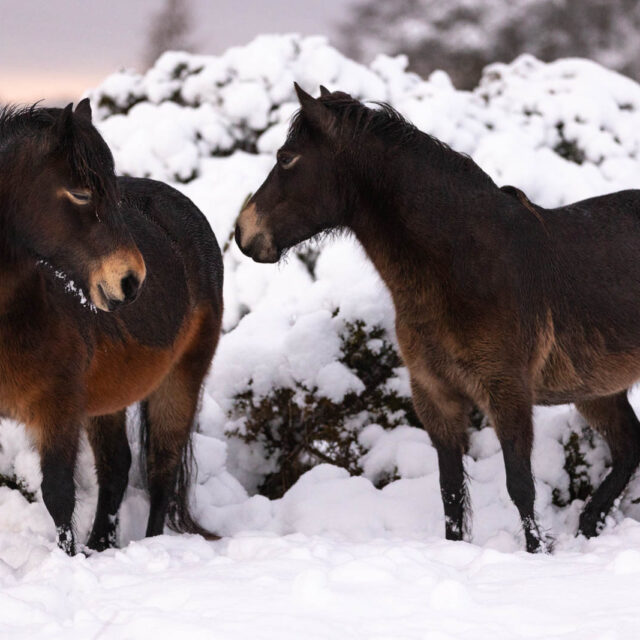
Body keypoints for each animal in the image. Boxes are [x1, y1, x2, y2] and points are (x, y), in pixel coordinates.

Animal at [0, 100, 223, 554]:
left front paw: (69, 561)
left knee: (161, 472)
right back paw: (102, 543)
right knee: (117, 467)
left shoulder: (58, 408)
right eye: (81, 193)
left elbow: (58, 494)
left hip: (181, 379)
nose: (132, 279)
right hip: (108, 398)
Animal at [236, 83, 640, 552]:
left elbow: (520, 486)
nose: (243, 233)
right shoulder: (435, 395)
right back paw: (590, 523)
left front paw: (537, 553)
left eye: (286, 158)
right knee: (629, 448)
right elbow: (450, 492)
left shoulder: (508, 393)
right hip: (598, 391)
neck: (466, 266)